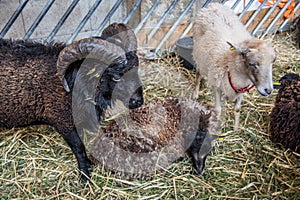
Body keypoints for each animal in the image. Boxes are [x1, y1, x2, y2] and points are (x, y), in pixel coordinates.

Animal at [0, 22, 144, 180]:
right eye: (115, 77)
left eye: (136, 68)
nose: (138, 101)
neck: (76, 82)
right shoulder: (63, 121)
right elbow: (79, 148)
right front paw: (85, 175)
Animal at [192, 3, 276, 131]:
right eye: (252, 63)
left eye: (273, 61)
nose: (268, 90)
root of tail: (213, 5)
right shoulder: (217, 86)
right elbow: (218, 110)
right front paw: (216, 128)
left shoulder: (242, 88)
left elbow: (237, 109)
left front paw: (236, 129)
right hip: (199, 55)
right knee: (198, 73)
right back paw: (195, 94)